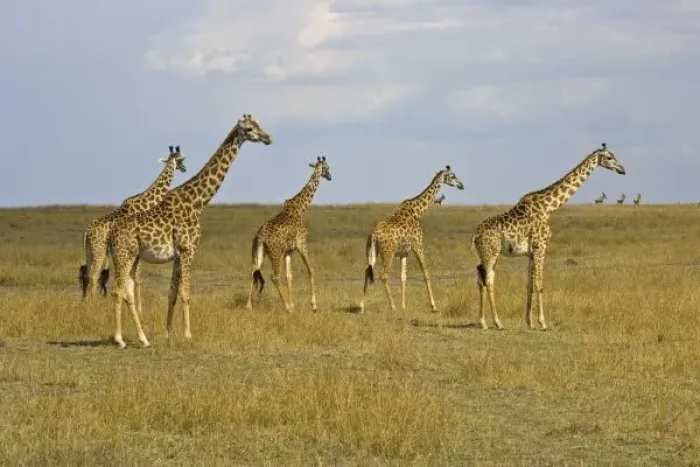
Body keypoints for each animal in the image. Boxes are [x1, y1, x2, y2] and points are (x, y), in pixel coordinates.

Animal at [79, 146, 186, 299]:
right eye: (181, 160)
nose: (184, 168)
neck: (145, 201)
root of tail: (87, 232)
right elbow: (136, 279)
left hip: (89, 250)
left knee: (86, 275)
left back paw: (84, 302)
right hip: (99, 249)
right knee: (93, 276)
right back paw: (93, 303)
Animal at [107, 114, 272, 349]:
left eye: (259, 125)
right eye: (249, 129)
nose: (268, 138)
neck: (197, 201)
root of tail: (111, 236)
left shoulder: (178, 255)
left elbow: (172, 293)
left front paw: (168, 334)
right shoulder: (188, 250)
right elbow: (186, 293)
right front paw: (187, 335)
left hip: (132, 258)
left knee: (127, 290)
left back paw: (144, 339)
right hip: (124, 256)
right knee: (117, 290)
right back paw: (120, 339)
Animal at [245, 156, 332, 312]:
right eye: (327, 167)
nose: (330, 177)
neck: (300, 208)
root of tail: (261, 237)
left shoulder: (288, 251)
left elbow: (289, 275)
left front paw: (293, 304)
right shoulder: (302, 244)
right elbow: (311, 269)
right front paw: (313, 305)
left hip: (258, 251)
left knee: (253, 272)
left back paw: (249, 305)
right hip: (275, 253)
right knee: (274, 276)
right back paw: (286, 307)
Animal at [359, 166, 464, 313]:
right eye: (453, 176)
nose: (461, 185)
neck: (418, 211)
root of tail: (374, 235)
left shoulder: (404, 252)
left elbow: (403, 276)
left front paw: (404, 306)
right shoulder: (418, 245)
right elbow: (425, 272)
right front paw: (434, 305)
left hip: (372, 252)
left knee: (367, 271)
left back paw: (361, 307)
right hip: (388, 253)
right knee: (383, 274)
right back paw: (392, 307)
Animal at [470, 143, 625, 331]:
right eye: (609, 157)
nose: (622, 170)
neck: (548, 208)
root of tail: (475, 235)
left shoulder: (531, 253)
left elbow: (529, 285)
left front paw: (529, 322)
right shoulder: (541, 246)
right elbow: (540, 284)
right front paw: (543, 323)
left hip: (485, 255)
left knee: (481, 279)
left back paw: (483, 322)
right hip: (491, 253)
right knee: (489, 280)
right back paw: (497, 322)